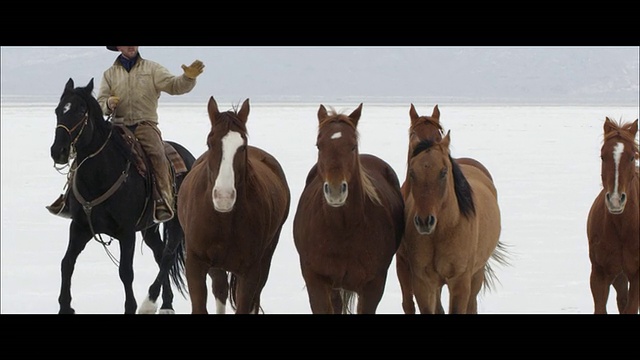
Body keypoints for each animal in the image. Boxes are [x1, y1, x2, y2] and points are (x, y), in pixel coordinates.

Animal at [50, 78, 196, 312]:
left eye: (81, 110)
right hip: (149, 228)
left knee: (167, 256)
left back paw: (150, 302)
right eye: (58, 110)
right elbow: (67, 263)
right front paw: (65, 306)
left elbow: (126, 272)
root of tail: (190, 159)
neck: (100, 176)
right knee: (159, 253)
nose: (58, 151)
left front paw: (131, 306)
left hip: (176, 223)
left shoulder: (126, 232)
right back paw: (166, 302)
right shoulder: (80, 227)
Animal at [178, 97, 292, 314]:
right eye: (210, 142)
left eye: (243, 146)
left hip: (265, 260)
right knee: (220, 289)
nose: (224, 197)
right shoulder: (195, 265)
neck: (223, 219)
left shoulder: (250, 271)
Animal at [292, 102, 402, 314]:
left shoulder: (373, 286)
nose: (335, 191)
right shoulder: (315, 281)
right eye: (319, 145)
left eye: (353, 146)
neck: (343, 229)